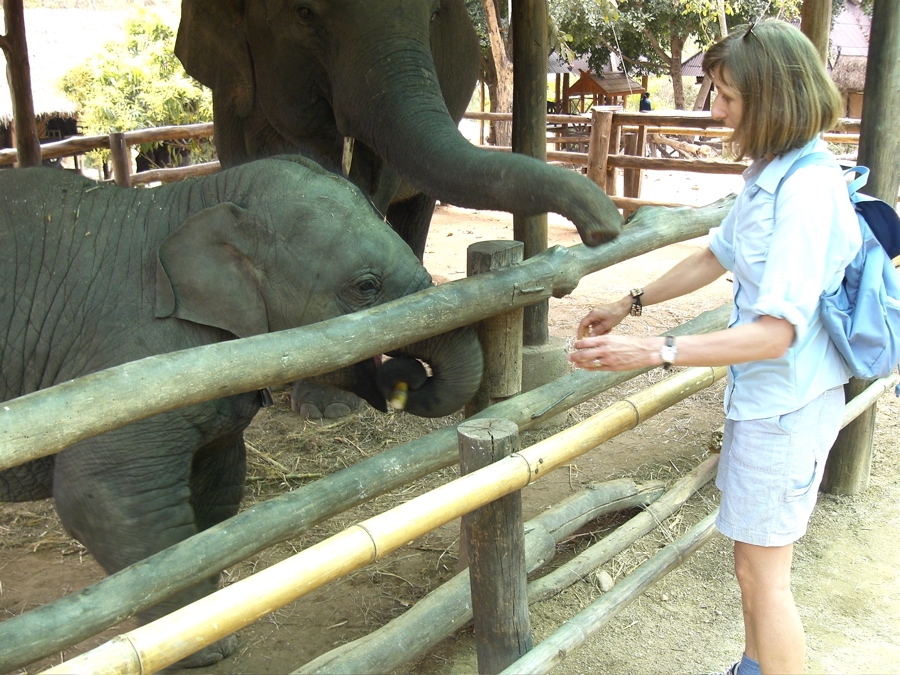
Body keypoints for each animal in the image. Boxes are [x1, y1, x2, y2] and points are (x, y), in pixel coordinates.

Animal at [0, 156, 486, 668]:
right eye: (366, 287)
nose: (404, 377)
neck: (191, 202)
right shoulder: (122, 376)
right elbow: (101, 496)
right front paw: (203, 651)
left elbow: (216, 492)